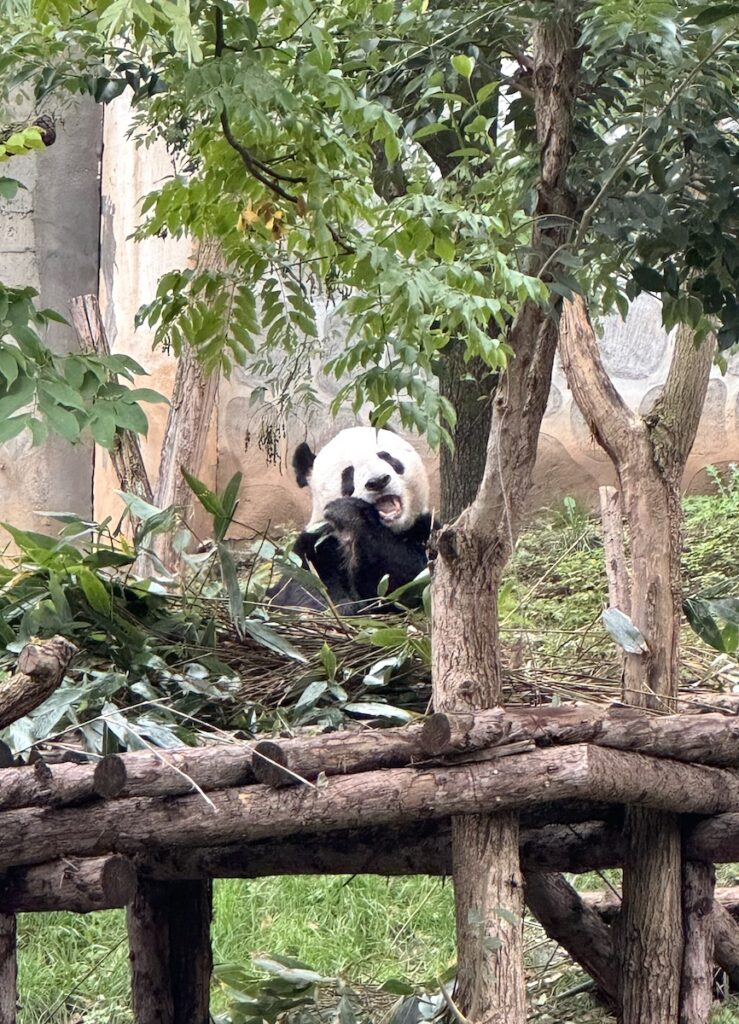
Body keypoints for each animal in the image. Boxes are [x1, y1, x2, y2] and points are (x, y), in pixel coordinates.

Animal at [269, 427, 432, 614]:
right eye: (348, 472)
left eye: (386, 456)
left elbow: (408, 580)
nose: (378, 481)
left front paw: (350, 513)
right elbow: (301, 587)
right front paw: (343, 606)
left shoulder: (423, 529)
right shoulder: (318, 544)